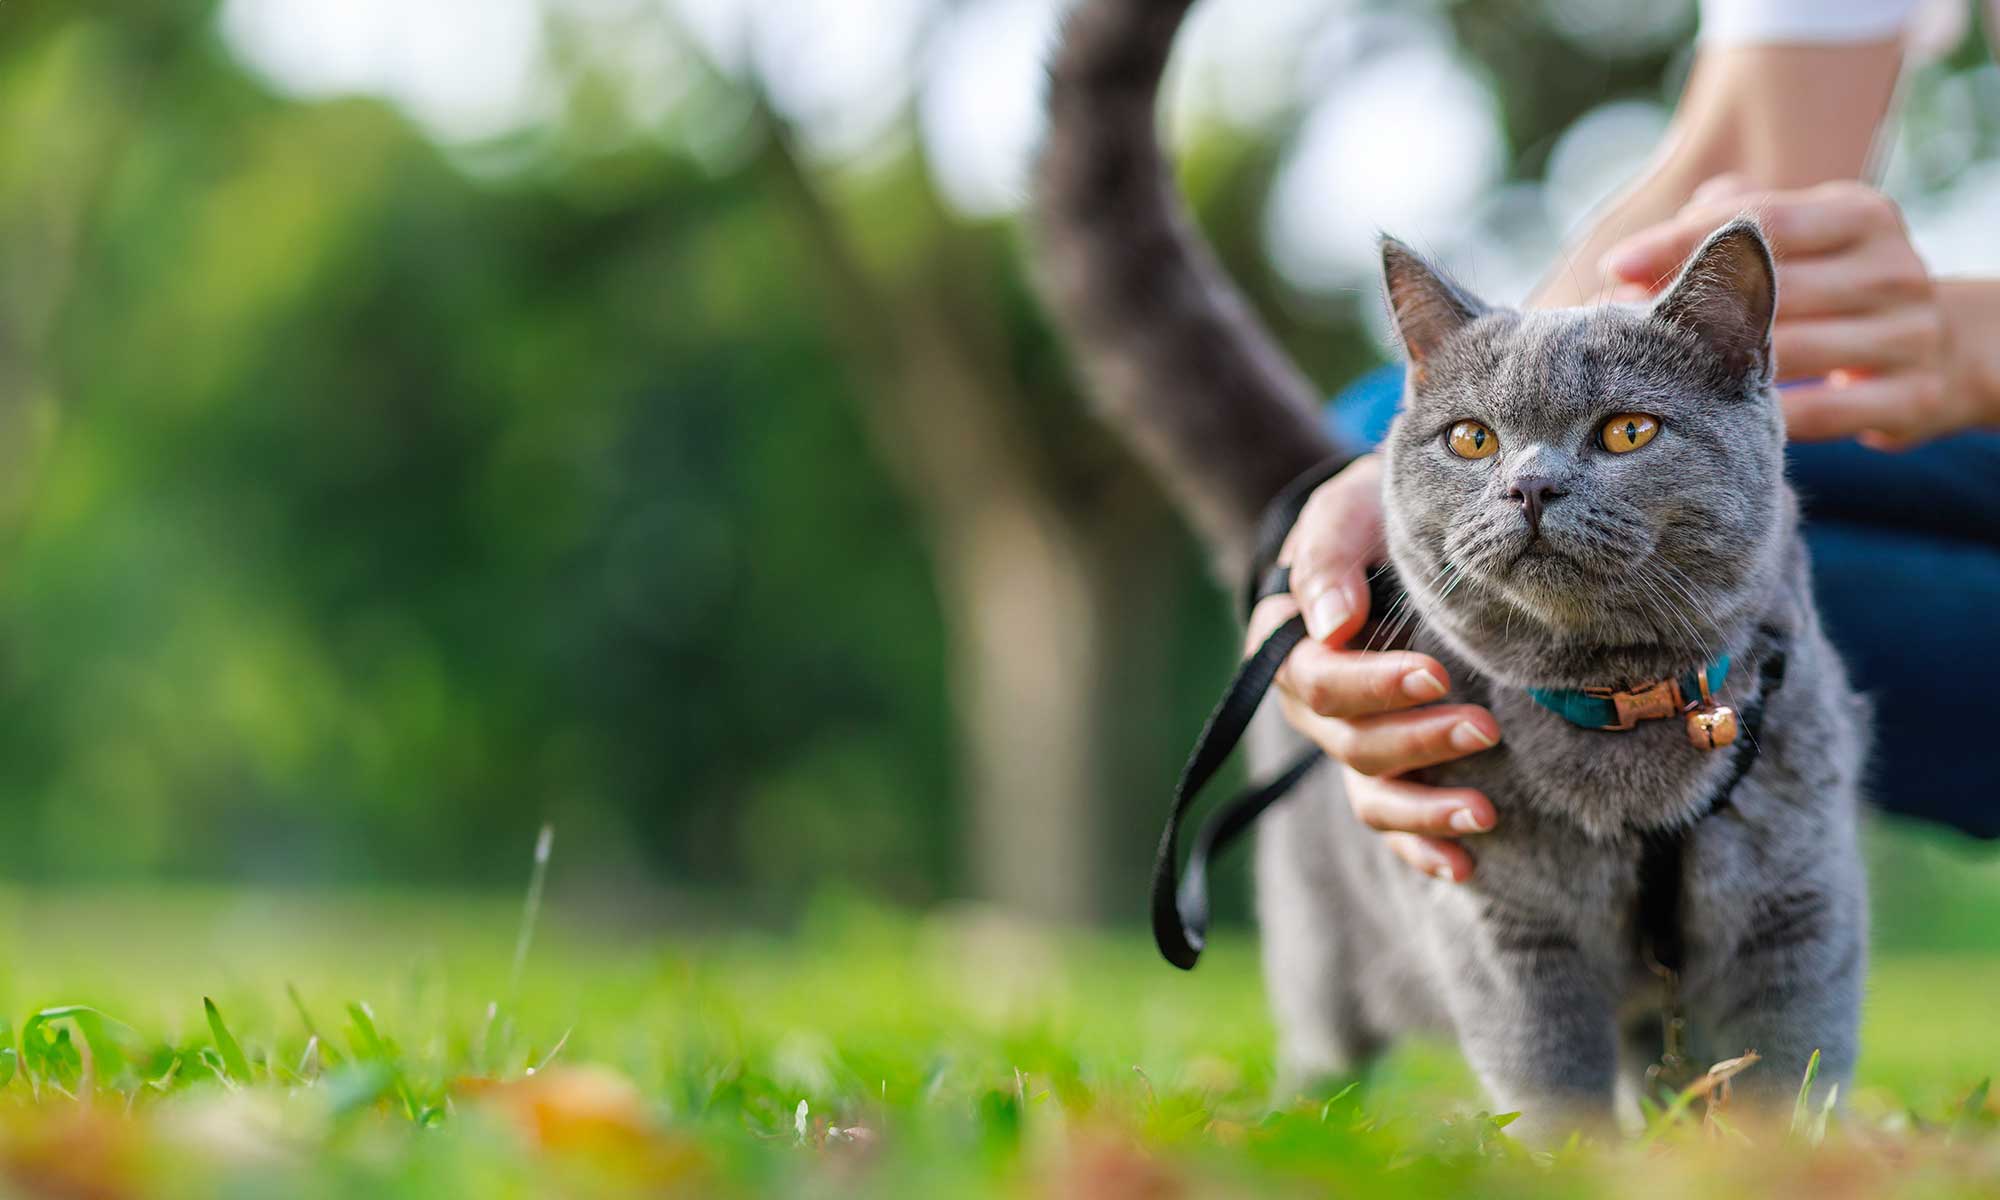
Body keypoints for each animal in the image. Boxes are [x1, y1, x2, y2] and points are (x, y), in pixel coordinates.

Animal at [1040, 0, 1864, 1136]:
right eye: (1472, 440)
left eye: (1627, 431)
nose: (1528, 486)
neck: (1620, 714)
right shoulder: (1503, 927)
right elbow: (1550, 1084)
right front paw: (1581, 1163)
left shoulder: (1799, 908)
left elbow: (1782, 1077)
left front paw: (1766, 1156)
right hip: (1321, 935)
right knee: (1325, 1041)